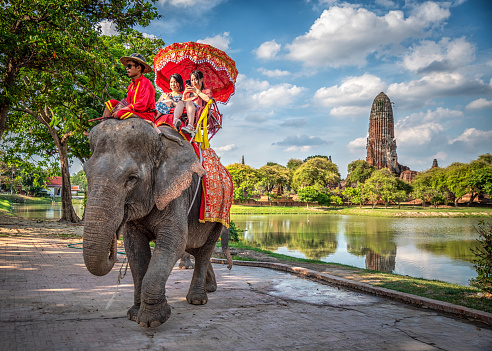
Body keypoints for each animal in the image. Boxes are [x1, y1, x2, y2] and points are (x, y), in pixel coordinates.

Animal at [82, 119, 233, 330]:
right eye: (86, 173)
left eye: (131, 178)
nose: (112, 248)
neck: (160, 141)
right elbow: (135, 250)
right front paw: (134, 315)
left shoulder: (177, 192)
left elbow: (173, 243)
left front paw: (153, 320)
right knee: (195, 247)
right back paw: (210, 289)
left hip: (219, 213)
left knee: (204, 251)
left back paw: (197, 299)